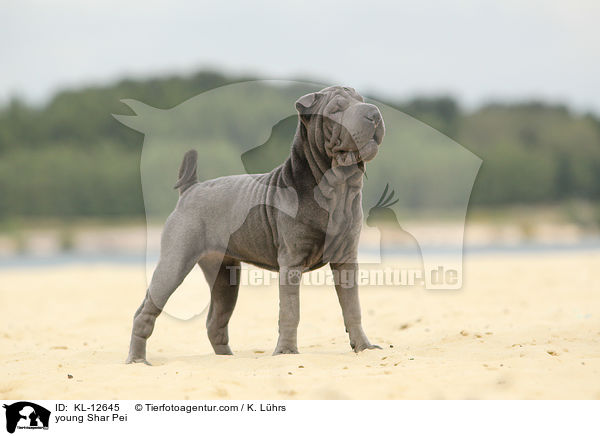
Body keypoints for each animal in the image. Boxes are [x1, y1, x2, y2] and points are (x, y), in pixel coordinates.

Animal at [129, 85, 386, 364]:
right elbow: (290, 311)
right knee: (144, 312)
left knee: (215, 322)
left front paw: (364, 347)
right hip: (174, 262)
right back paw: (137, 360)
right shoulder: (291, 262)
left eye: (360, 101)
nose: (373, 113)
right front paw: (286, 352)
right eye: (336, 110)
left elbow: (353, 307)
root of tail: (190, 189)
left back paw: (227, 359)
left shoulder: (346, 260)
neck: (338, 187)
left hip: (225, 277)